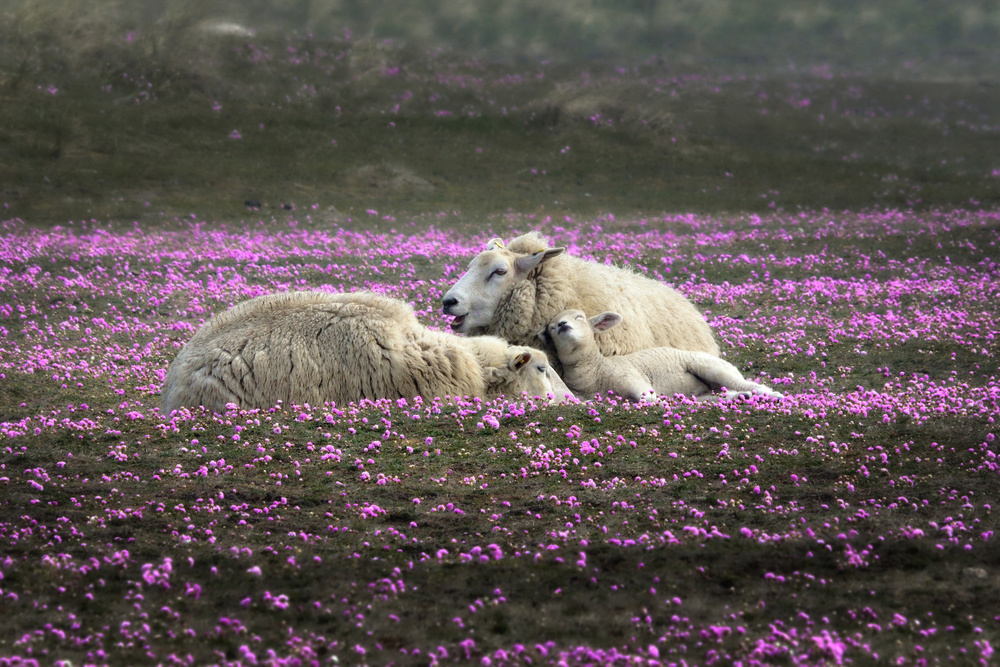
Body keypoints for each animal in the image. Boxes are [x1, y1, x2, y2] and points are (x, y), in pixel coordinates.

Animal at [544, 308, 784, 402]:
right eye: (552, 328)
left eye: (579, 317)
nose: (563, 325)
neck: (595, 369)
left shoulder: (631, 376)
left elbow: (648, 398)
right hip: (704, 391)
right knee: (719, 395)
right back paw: (741, 397)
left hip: (712, 367)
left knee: (746, 382)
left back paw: (770, 394)